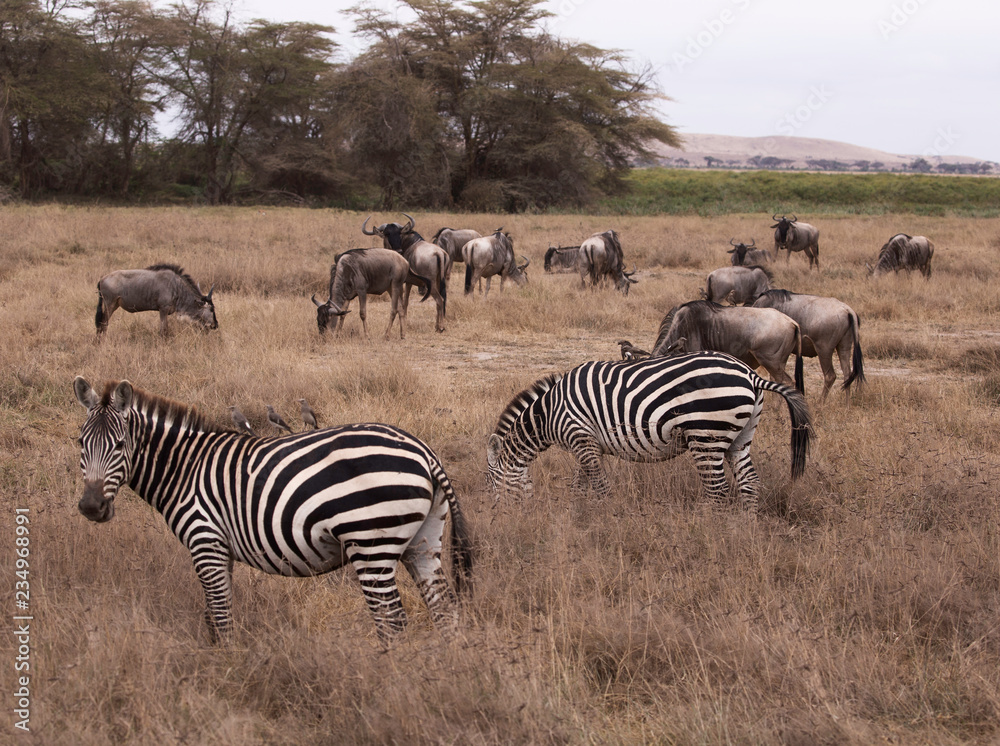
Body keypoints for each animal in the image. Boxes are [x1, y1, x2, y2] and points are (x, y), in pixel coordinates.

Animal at [74, 374, 472, 644]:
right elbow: (213, 615)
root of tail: (424, 451)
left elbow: (220, 614)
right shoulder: (220, 549)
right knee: (444, 609)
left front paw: (226, 670)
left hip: (371, 544)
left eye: (120, 444)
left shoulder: (205, 540)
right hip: (423, 541)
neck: (184, 468)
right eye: (80, 442)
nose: (91, 507)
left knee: (392, 621)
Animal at [486, 348, 812, 512]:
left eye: (489, 484)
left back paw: (712, 534)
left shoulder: (580, 436)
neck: (549, 413)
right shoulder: (588, 443)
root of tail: (750, 373)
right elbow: (581, 484)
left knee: (718, 491)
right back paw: (744, 530)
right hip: (740, 437)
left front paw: (607, 517)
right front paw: (579, 513)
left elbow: (600, 486)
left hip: (706, 436)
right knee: (749, 483)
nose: (495, 517)